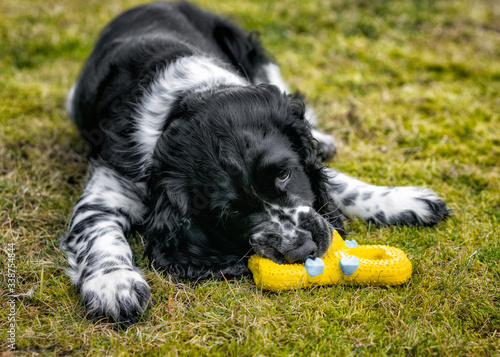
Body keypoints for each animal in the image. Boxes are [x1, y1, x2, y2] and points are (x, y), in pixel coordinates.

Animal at [61, 1, 450, 326]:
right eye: (229, 212)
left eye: (284, 174)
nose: (301, 249)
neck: (189, 96)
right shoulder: (108, 187)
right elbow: (99, 235)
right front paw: (115, 285)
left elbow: (339, 183)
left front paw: (405, 201)